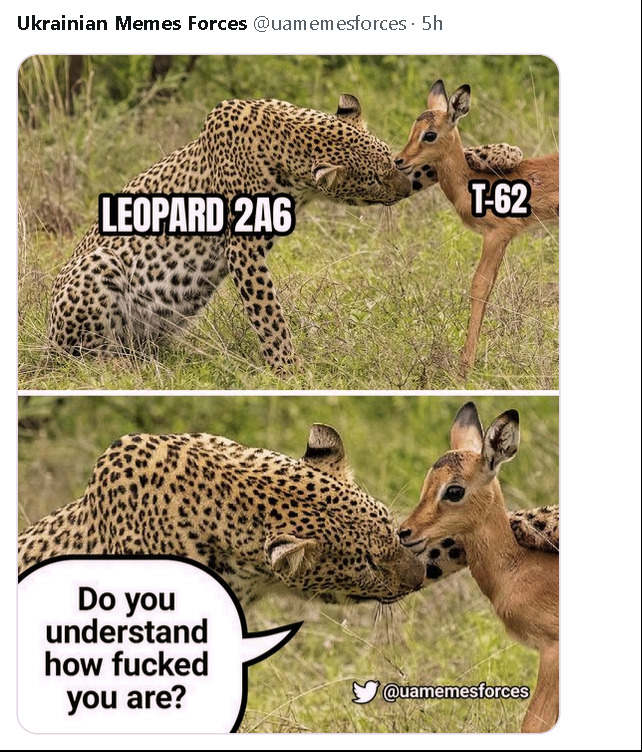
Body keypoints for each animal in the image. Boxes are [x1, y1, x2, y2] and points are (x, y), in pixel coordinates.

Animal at [47, 93, 523, 370]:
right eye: (371, 179)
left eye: (392, 160)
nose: (402, 186)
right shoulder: (243, 249)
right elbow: (270, 315)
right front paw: (291, 371)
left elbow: (437, 164)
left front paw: (501, 151)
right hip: (98, 266)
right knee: (87, 356)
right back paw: (117, 367)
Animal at [395, 80, 559, 376]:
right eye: (413, 128)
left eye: (429, 134)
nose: (399, 160)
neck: (472, 183)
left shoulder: (496, 236)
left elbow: (480, 287)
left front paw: (464, 367)